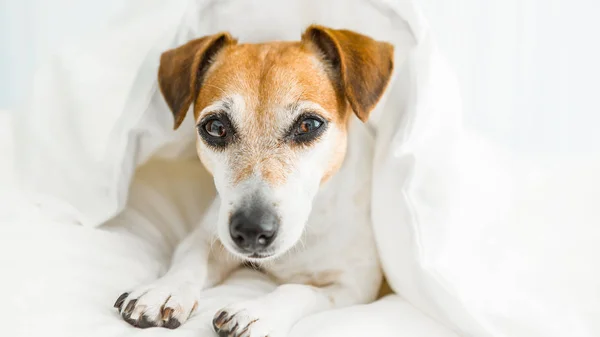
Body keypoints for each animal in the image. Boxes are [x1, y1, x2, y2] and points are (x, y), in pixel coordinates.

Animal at [113, 24, 394, 336]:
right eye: (215, 127)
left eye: (308, 124)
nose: (250, 229)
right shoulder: (209, 236)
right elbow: (190, 258)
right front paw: (163, 290)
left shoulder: (353, 286)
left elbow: (299, 290)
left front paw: (256, 313)